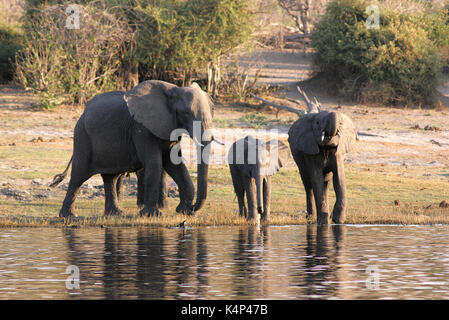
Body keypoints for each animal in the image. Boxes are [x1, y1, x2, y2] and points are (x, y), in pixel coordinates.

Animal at [50, 81, 215, 219]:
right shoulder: (140, 128)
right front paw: (152, 215)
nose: (192, 208)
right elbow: (155, 163)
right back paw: (69, 216)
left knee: (110, 177)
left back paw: (115, 214)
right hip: (82, 137)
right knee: (78, 176)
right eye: (186, 113)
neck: (173, 89)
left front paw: (185, 211)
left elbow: (176, 165)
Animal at [288, 90, 356, 225]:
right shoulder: (310, 150)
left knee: (327, 182)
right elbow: (316, 179)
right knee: (308, 184)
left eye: (341, 123)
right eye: (318, 123)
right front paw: (323, 222)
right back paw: (311, 218)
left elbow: (339, 179)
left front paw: (337, 220)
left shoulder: (338, 152)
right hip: (299, 160)